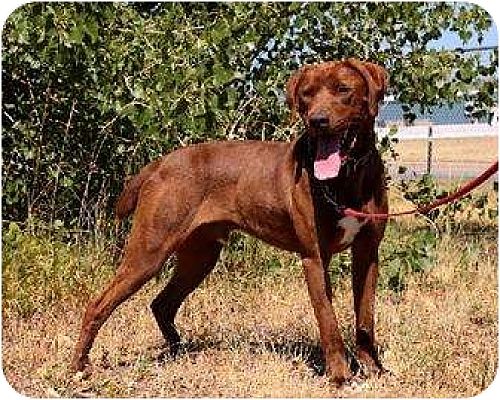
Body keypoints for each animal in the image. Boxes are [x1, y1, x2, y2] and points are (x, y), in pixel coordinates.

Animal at [71, 57, 386, 386]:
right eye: (307, 94)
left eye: (343, 89)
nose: (317, 120)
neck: (347, 178)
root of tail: (160, 164)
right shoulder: (314, 257)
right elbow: (328, 320)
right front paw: (339, 375)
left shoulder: (367, 253)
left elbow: (365, 316)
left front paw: (372, 367)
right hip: (149, 252)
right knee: (98, 304)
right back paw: (79, 365)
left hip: (200, 256)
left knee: (162, 303)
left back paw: (178, 351)